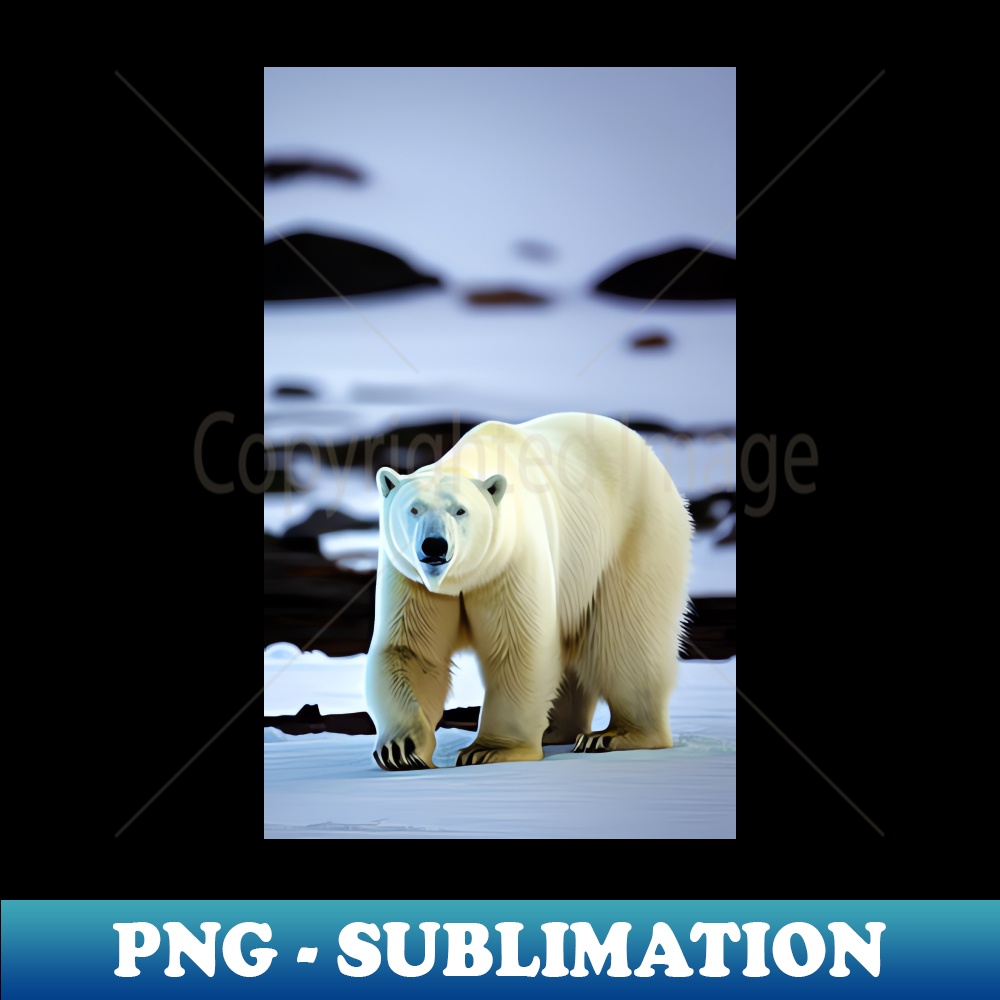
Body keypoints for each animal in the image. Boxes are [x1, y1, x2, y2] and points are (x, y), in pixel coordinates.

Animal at [365, 411, 692, 770]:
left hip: (635, 536)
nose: (434, 546)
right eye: (414, 509)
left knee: (627, 639)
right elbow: (410, 651)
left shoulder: (510, 560)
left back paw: (616, 736)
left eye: (460, 510)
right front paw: (401, 750)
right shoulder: (413, 578)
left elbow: (518, 648)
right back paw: (556, 730)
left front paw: (489, 750)